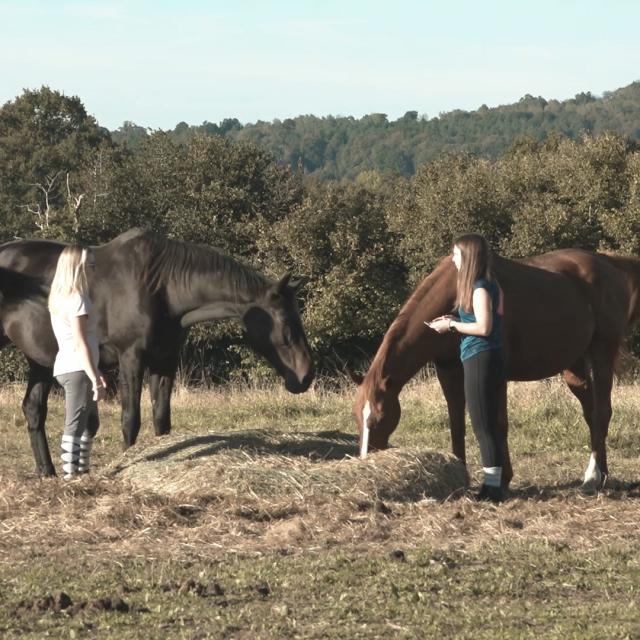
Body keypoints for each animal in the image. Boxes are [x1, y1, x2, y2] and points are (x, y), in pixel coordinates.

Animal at [0, 229, 312, 476]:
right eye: (286, 326)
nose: (305, 376)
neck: (161, 287)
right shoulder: (131, 359)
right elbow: (131, 420)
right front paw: (123, 463)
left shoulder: (165, 361)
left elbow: (162, 419)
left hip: (41, 360)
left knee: (33, 409)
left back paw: (47, 471)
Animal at [350, 249, 640, 490]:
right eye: (356, 416)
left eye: (380, 417)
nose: (366, 459)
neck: (456, 290)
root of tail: (609, 264)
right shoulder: (449, 370)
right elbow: (456, 422)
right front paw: (462, 474)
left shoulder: (495, 373)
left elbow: (498, 424)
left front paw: (502, 479)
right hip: (574, 366)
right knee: (591, 414)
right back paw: (601, 473)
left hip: (602, 353)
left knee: (601, 412)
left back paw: (593, 477)